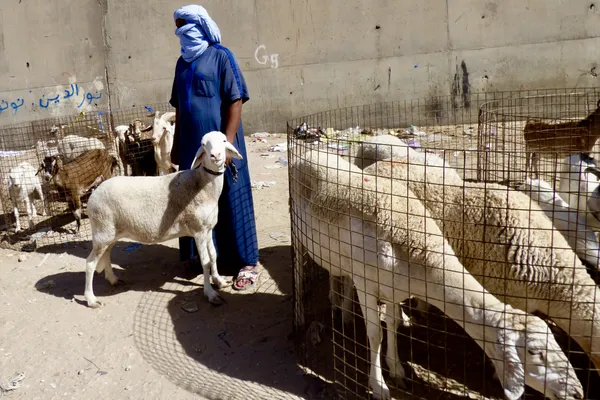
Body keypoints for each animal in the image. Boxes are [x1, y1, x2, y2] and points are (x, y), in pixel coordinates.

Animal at [83, 131, 243, 310]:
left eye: (224, 140)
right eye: (203, 144)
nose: (216, 156)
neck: (203, 184)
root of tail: (93, 195)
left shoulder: (208, 228)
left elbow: (214, 255)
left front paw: (219, 281)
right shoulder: (198, 230)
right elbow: (206, 262)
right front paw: (210, 293)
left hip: (111, 232)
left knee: (106, 254)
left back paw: (113, 279)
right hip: (102, 230)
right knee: (90, 263)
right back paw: (91, 299)